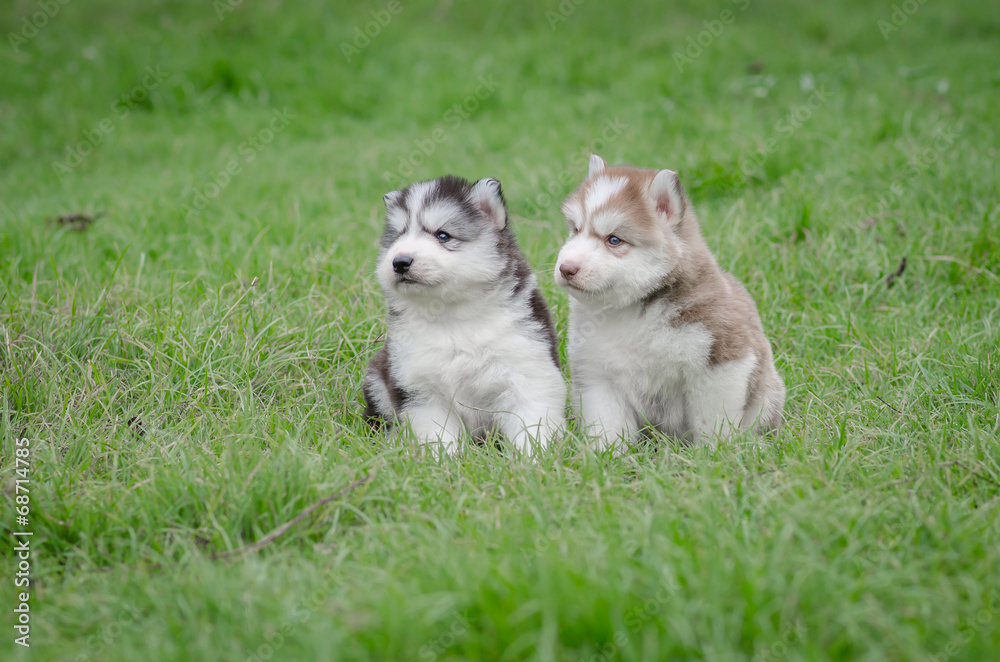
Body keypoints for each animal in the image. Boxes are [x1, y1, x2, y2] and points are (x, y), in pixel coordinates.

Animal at [364, 176, 568, 456]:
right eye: (398, 237)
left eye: (442, 235)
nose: (400, 261)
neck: (451, 315)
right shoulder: (420, 389)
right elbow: (437, 436)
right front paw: (444, 461)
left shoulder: (528, 374)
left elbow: (530, 426)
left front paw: (532, 460)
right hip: (377, 377)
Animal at [556, 156, 780, 452]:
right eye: (575, 230)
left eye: (614, 239)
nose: (566, 268)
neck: (631, 312)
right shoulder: (599, 375)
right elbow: (608, 425)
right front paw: (608, 455)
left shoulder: (720, 364)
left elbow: (713, 421)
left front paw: (715, 454)